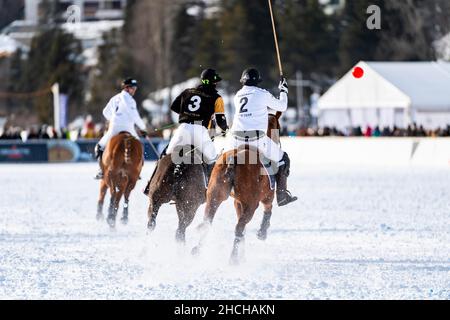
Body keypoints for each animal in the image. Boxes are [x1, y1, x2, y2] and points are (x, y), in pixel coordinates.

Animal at [192, 114, 282, 264]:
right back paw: (233, 259)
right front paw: (262, 232)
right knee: (239, 228)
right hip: (252, 204)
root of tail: (233, 158)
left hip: (214, 196)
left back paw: (197, 250)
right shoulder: (266, 196)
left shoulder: (237, 202)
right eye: (279, 128)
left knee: (208, 221)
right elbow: (268, 209)